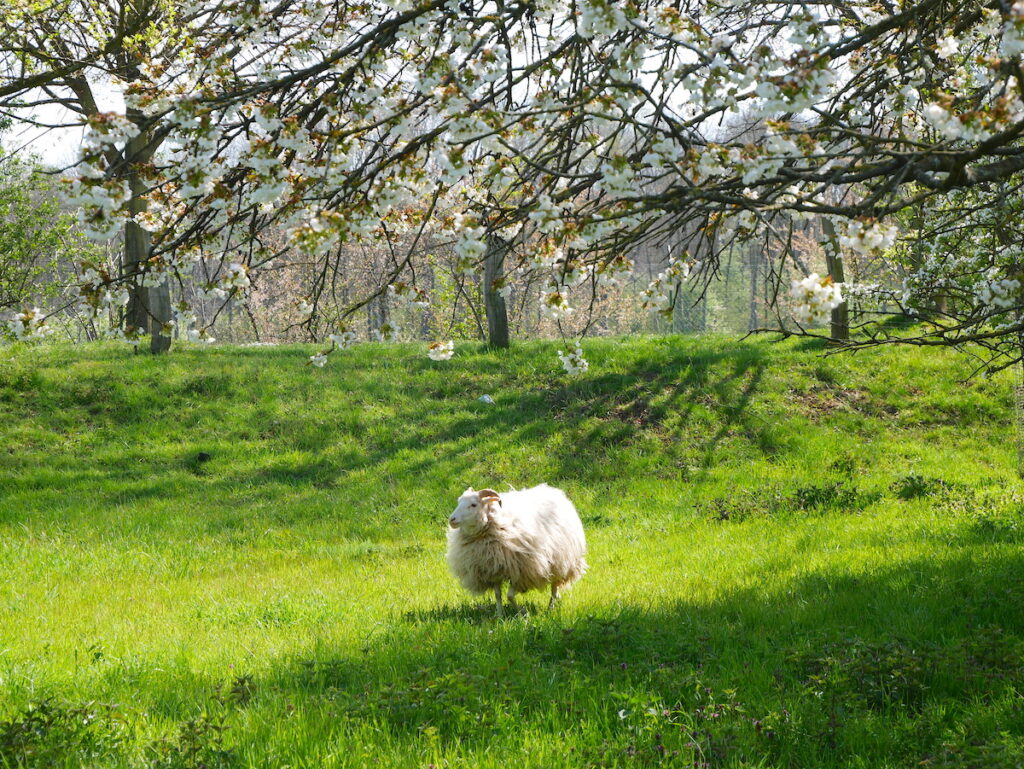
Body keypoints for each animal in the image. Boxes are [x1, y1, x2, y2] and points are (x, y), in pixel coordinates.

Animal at [444, 483, 589, 618]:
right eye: (459, 502)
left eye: (473, 504)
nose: (452, 519)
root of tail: (554, 491)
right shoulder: (492, 569)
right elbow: (498, 595)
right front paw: (500, 615)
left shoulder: (521, 571)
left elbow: (509, 596)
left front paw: (522, 613)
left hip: (561, 561)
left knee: (554, 587)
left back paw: (551, 608)